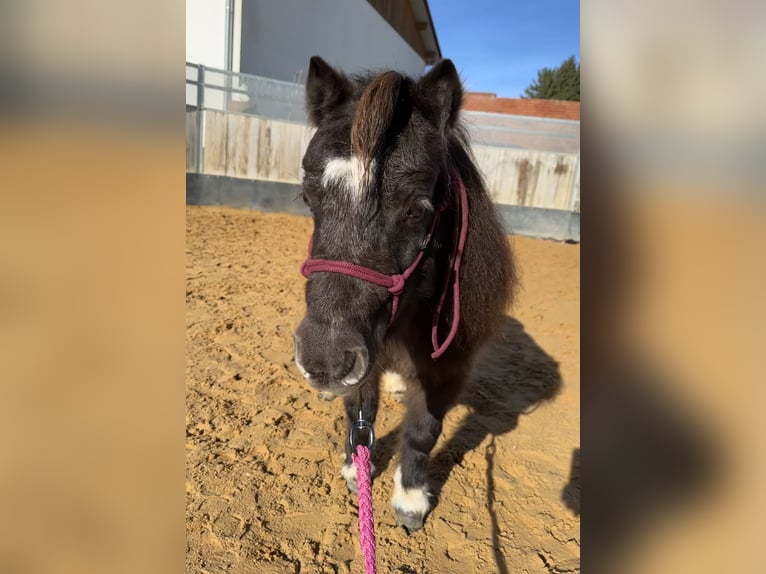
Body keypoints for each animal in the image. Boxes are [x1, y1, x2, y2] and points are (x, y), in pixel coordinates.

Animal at [294, 56, 516, 532]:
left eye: (417, 210)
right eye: (307, 197)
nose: (323, 361)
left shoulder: (447, 371)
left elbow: (422, 432)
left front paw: (410, 499)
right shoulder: (362, 360)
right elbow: (360, 414)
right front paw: (354, 469)